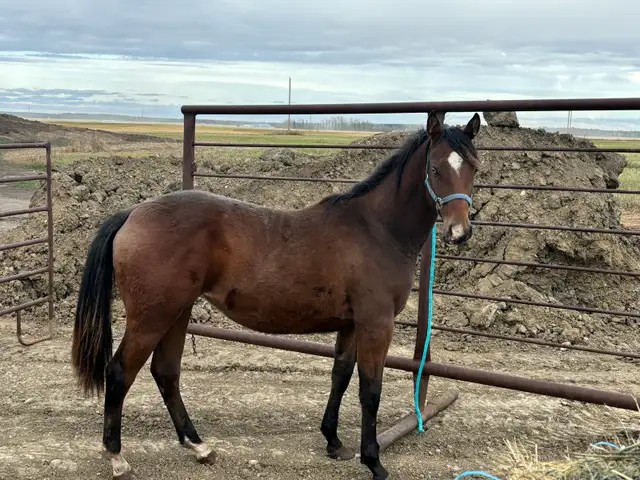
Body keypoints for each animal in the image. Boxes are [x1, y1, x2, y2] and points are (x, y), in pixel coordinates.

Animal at [71, 110, 481, 480]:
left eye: (474, 169)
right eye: (435, 169)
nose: (459, 232)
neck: (376, 230)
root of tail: (132, 213)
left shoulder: (351, 325)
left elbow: (340, 376)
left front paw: (334, 442)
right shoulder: (376, 324)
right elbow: (370, 390)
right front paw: (374, 462)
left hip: (177, 312)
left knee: (166, 372)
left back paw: (198, 446)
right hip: (152, 317)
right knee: (120, 372)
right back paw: (117, 457)